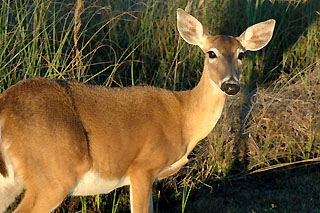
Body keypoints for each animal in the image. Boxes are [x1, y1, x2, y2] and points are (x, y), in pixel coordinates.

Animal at [0, 7, 276, 213]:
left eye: (241, 55)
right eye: (211, 53)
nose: (231, 85)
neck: (184, 118)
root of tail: (5, 106)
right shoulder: (142, 167)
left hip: (12, 180)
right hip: (53, 174)